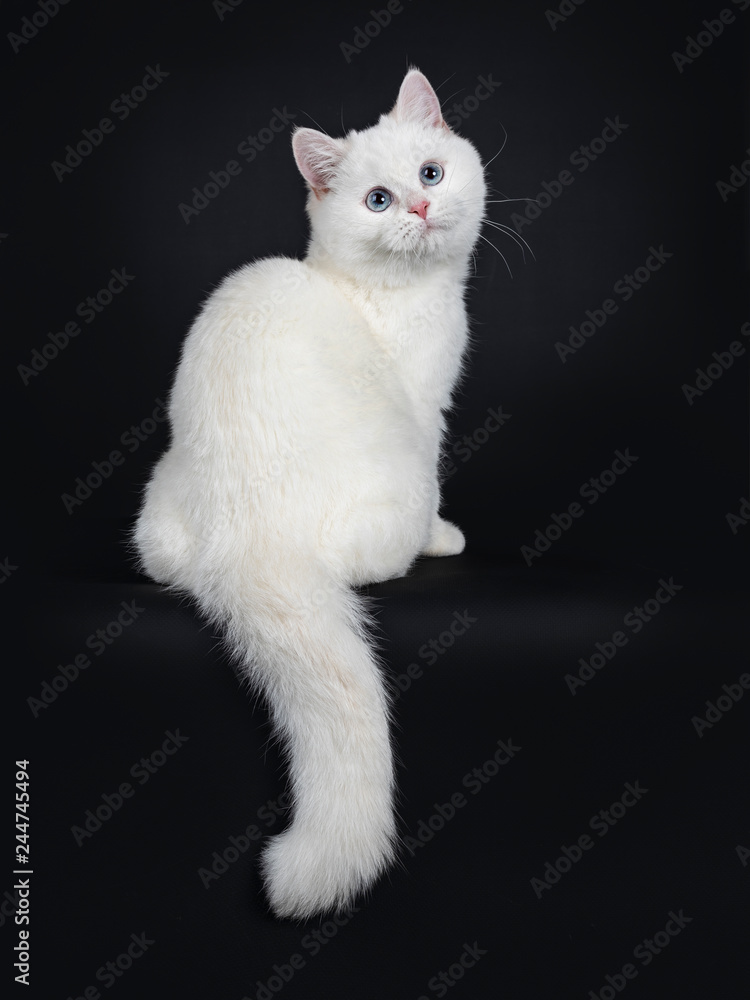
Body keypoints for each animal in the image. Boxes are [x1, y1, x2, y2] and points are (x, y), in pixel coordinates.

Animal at [133, 66, 490, 916]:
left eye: (430, 175)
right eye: (378, 200)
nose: (420, 207)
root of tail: (250, 539)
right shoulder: (426, 415)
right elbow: (438, 486)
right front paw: (448, 537)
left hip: (157, 515)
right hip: (389, 490)